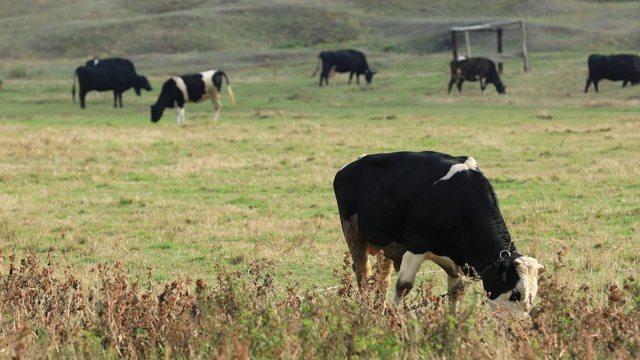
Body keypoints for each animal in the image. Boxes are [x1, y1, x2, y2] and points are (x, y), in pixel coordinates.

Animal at [336, 150, 544, 316]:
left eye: (533, 295)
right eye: (515, 294)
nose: (518, 325)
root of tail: (353, 163)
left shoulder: (456, 261)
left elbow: (456, 292)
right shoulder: (416, 244)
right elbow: (403, 285)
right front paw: (392, 316)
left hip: (384, 245)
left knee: (382, 278)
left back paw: (377, 310)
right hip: (351, 231)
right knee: (363, 275)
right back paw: (366, 311)